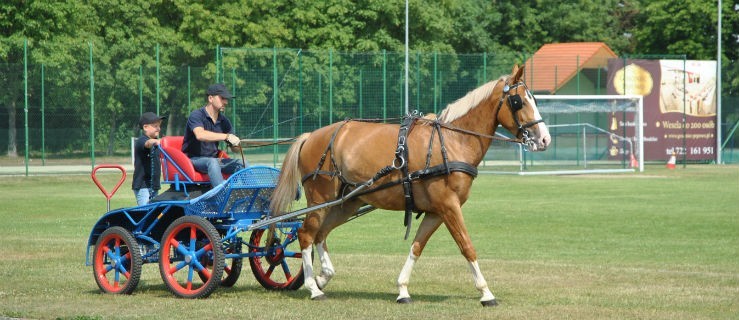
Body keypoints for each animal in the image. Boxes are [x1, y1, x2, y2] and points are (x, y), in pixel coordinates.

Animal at [270, 63, 548, 306]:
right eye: (518, 101)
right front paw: (486, 293)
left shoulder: (437, 211)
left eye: (533, 99)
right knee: (306, 234)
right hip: (321, 199)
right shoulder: (449, 206)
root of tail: (311, 136)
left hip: (347, 202)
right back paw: (313, 287)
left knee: (321, 233)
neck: (452, 140)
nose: (544, 139)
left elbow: (417, 246)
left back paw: (323, 276)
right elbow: (467, 246)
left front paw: (403, 289)